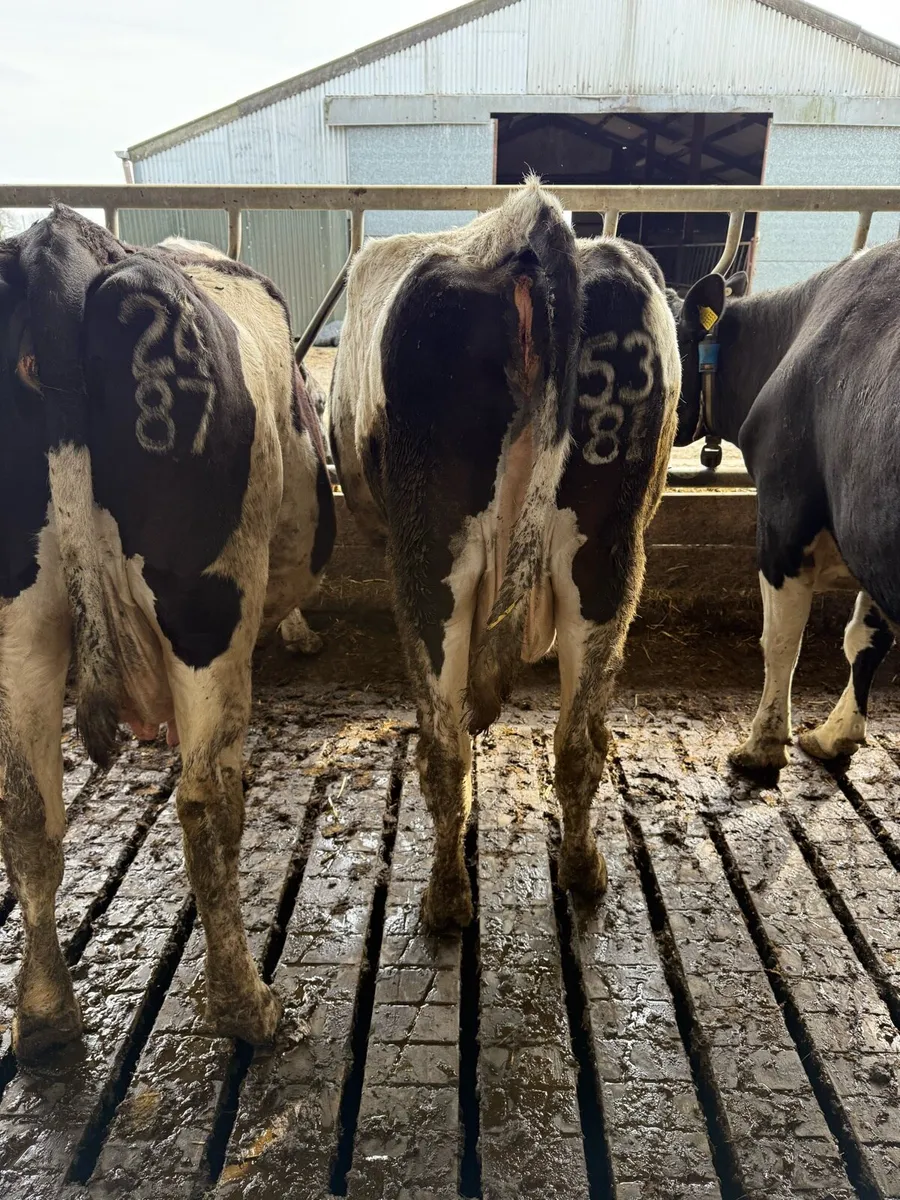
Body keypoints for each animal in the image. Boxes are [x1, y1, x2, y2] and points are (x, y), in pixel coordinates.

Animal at [0, 207, 335, 1059]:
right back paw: (246, 1002)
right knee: (205, 799)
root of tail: (59, 244)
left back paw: (44, 1015)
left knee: (27, 810)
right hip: (205, 601)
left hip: (18, 619)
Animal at [328, 180, 681, 928]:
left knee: (443, 747)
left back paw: (445, 899)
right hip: (607, 553)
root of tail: (525, 225)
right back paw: (583, 869)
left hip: (430, 562)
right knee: (580, 743)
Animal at [672, 242, 900, 771]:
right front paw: (834, 736)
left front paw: (762, 744)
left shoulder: (782, 519)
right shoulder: (866, 538)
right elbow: (866, 638)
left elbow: (779, 640)